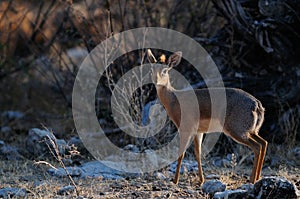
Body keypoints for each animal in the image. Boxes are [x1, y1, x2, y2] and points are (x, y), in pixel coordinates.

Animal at [147, 49, 268, 185]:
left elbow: (181, 154)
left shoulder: (185, 129)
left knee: (257, 147)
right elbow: (198, 154)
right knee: (264, 143)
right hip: (251, 131)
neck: (174, 99)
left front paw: (175, 181)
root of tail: (257, 104)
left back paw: (252, 180)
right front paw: (201, 181)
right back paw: (258, 178)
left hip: (237, 131)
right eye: (151, 69)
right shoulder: (199, 132)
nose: (155, 80)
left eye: (165, 70)